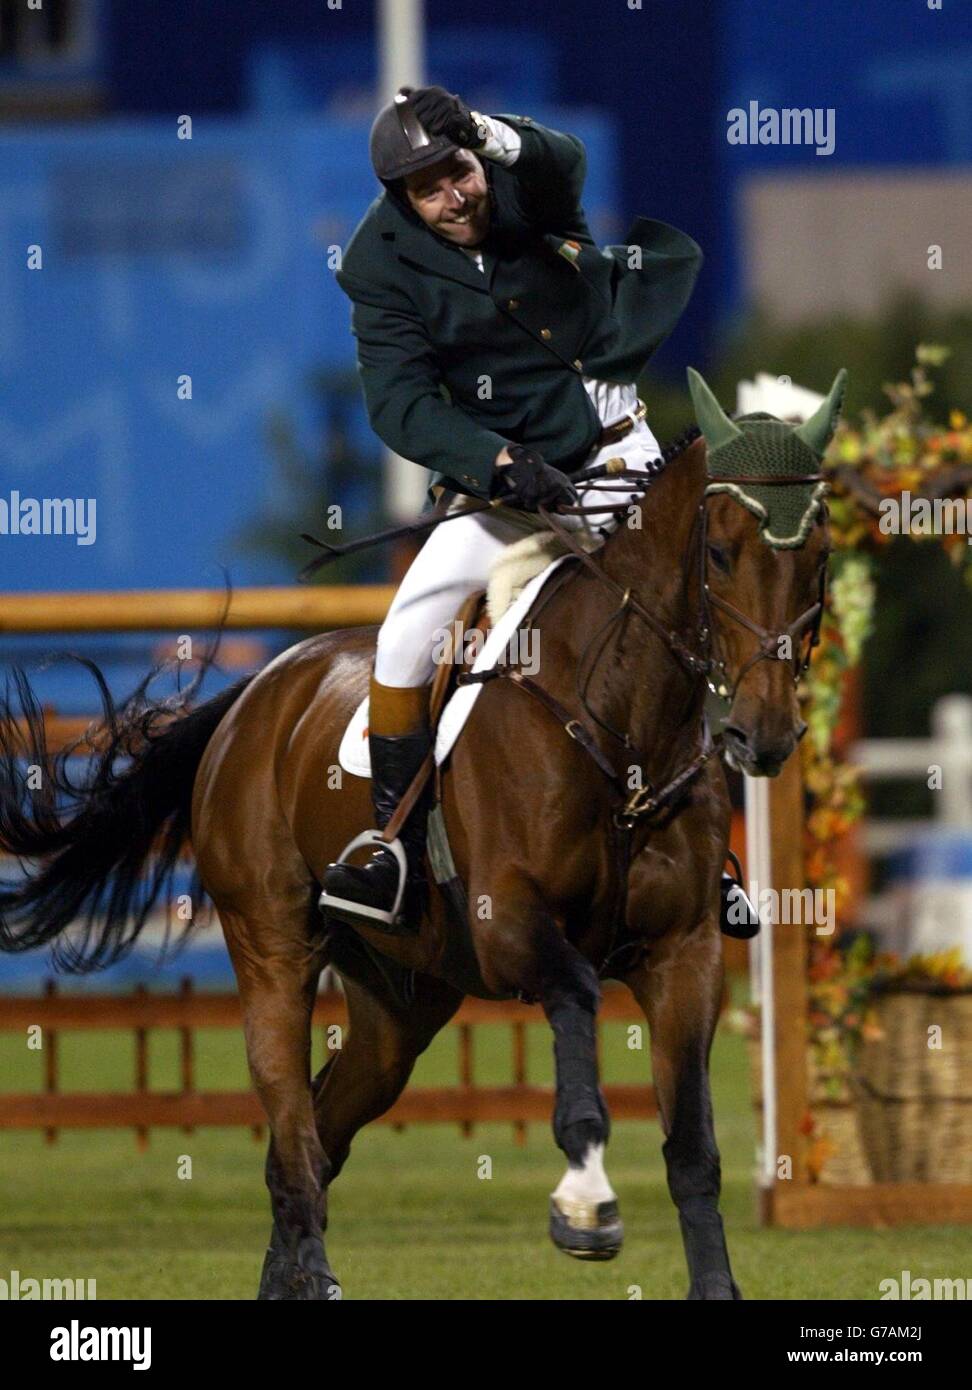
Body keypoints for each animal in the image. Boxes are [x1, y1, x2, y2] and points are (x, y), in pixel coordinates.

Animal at [0, 372, 839, 1301]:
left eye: (818, 557)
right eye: (719, 554)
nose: (765, 736)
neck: (620, 723)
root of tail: (257, 694)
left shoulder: (683, 954)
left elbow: (692, 1146)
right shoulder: (511, 924)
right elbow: (578, 998)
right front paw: (584, 1206)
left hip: (401, 1005)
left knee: (320, 1129)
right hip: (274, 951)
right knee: (293, 1131)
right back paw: (317, 1273)